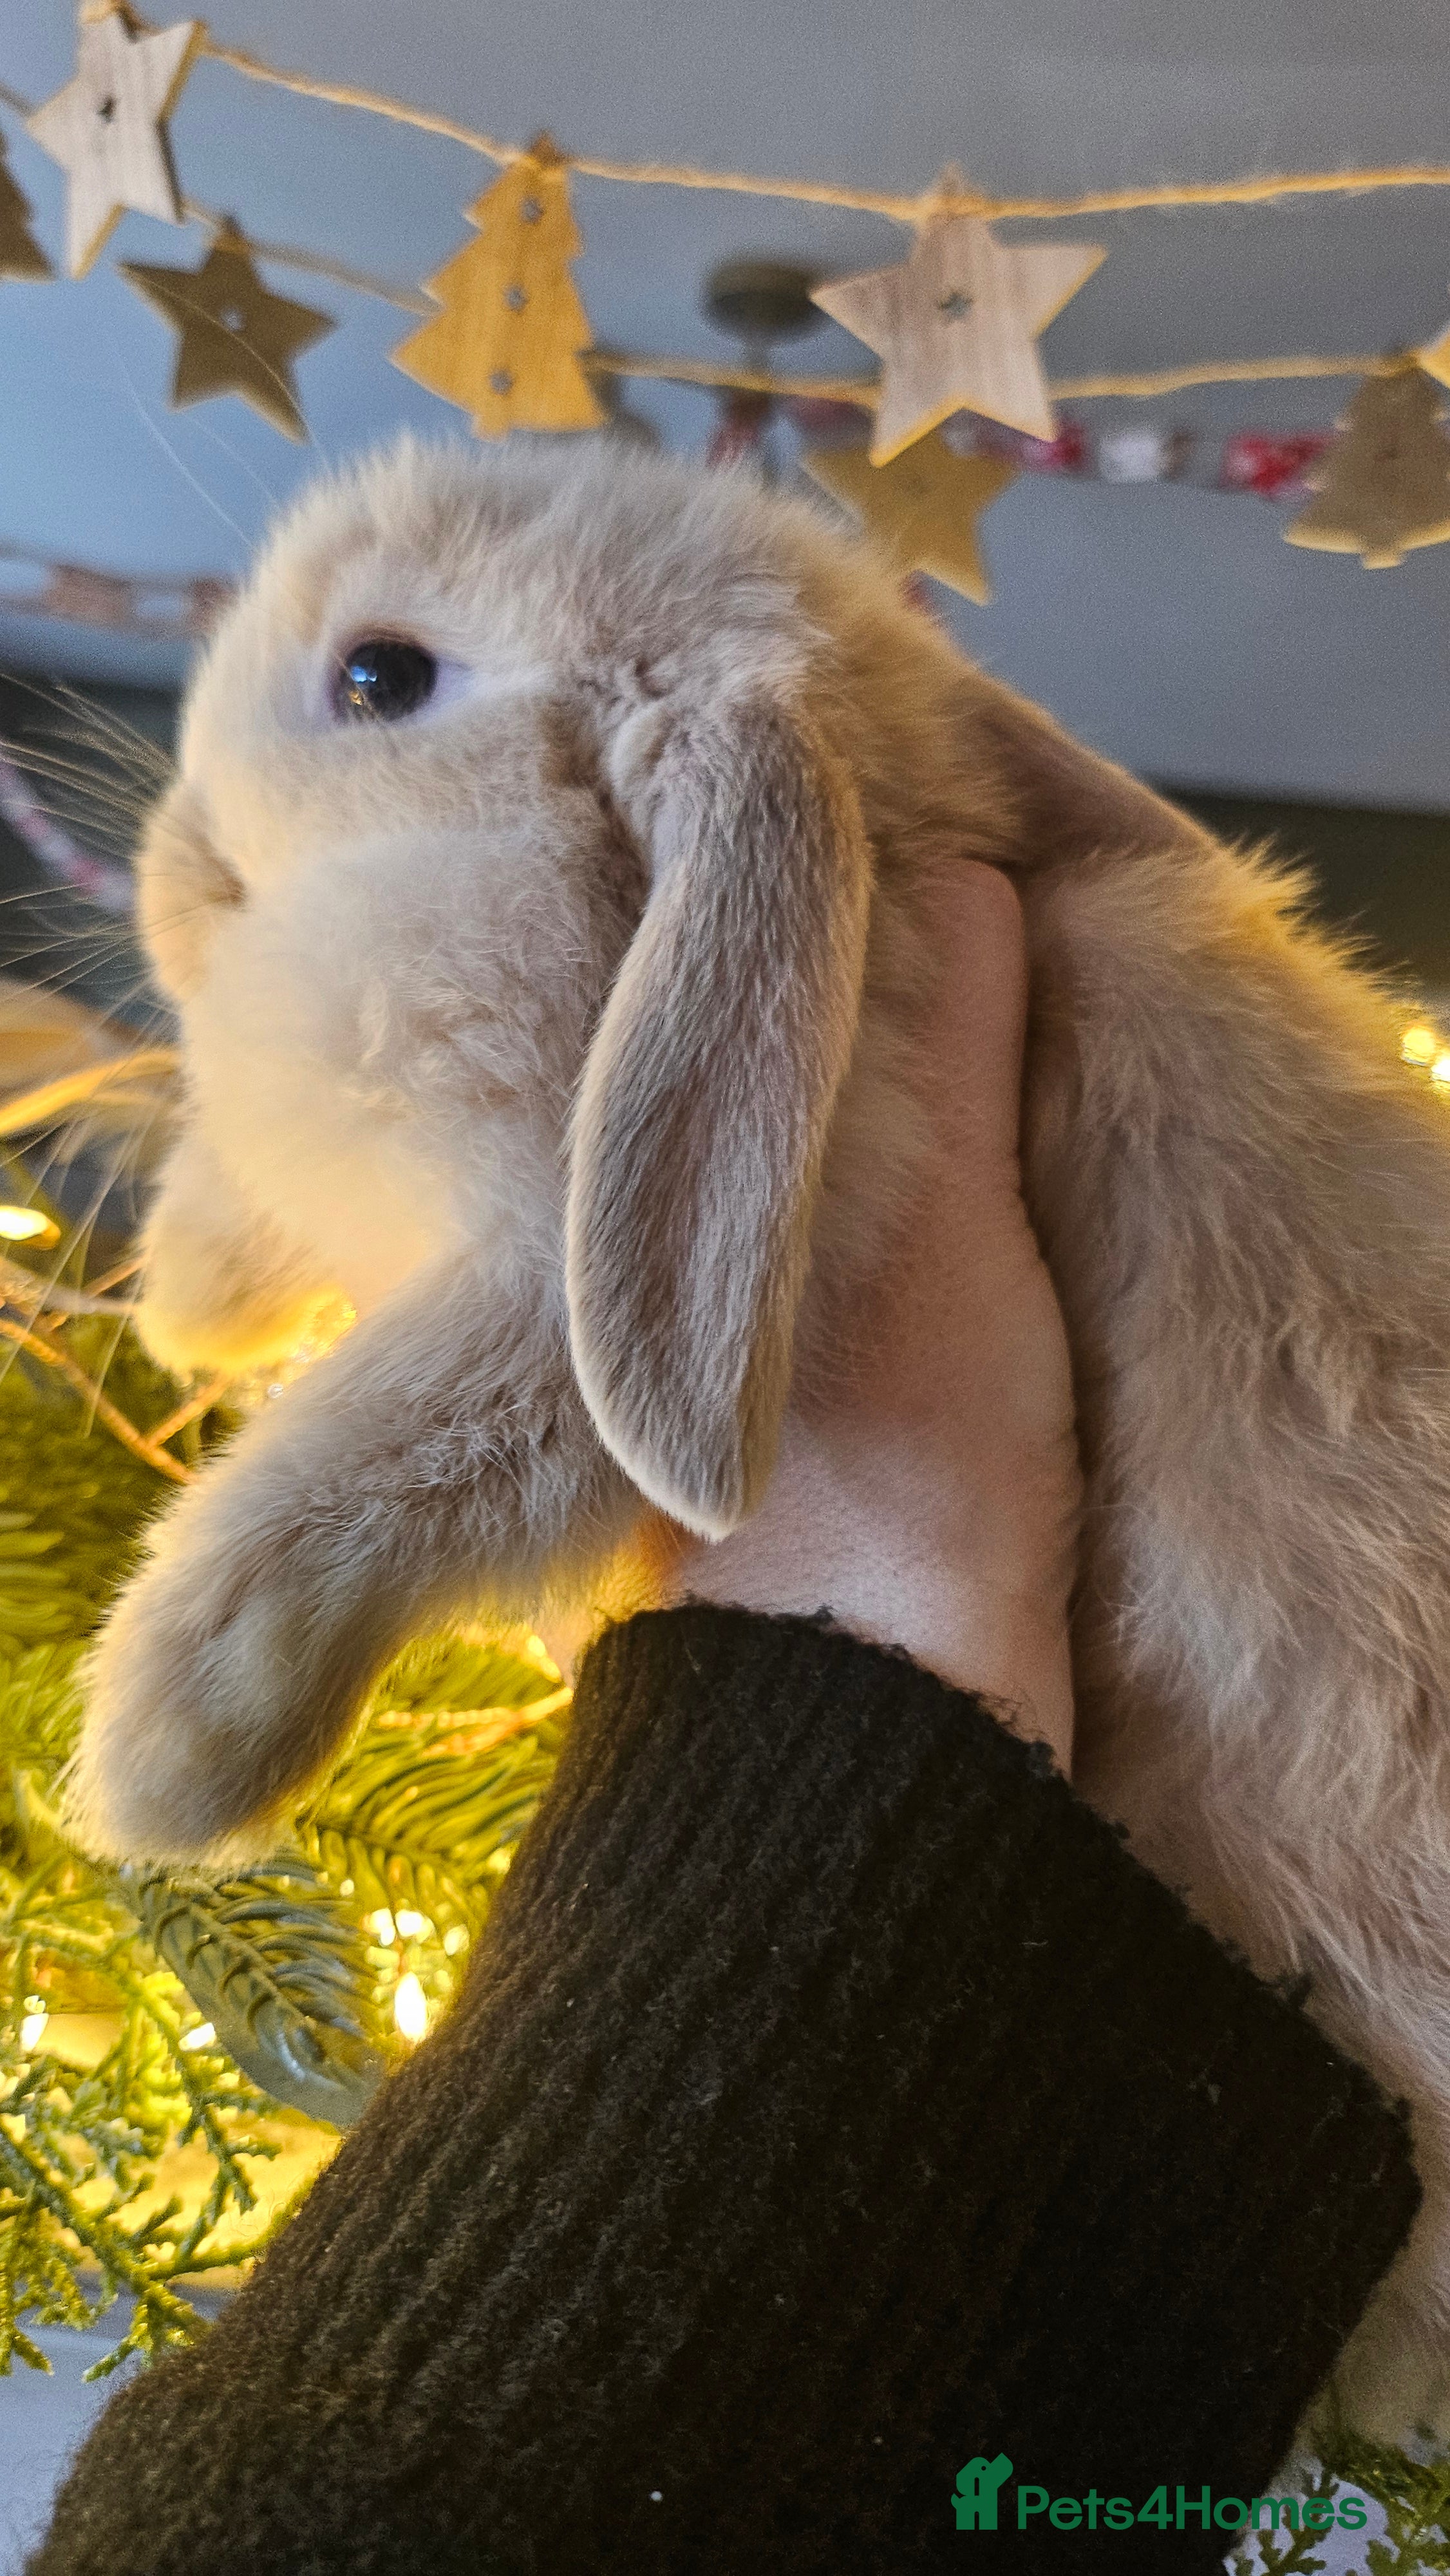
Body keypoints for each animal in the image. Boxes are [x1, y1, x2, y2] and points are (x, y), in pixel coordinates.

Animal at [63, 430, 1450, 2440]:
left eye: (382, 677)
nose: (173, 876)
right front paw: (187, 1291)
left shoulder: (566, 1302)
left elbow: (359, 1464)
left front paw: (161, 1758)